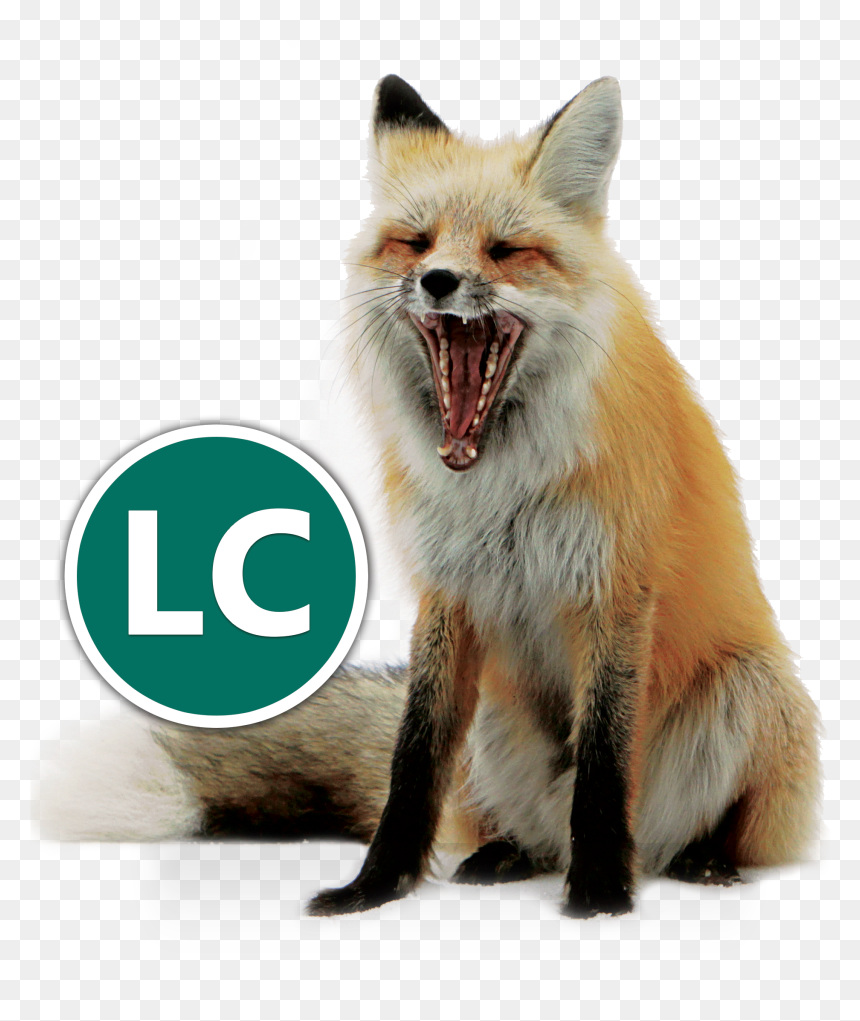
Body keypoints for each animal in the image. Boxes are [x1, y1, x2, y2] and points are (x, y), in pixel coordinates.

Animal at [39, 75, 820, 918]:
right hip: (495, 728)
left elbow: (605, 764)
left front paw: (601, 892)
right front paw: (374, 886)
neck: (501, 485)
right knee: (516, 824)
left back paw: (698, 858)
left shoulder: (614, 588)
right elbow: (412, 763)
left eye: (505, 250)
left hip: (750, 689)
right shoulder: (448, 591)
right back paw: (506, 854)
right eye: (415, 243)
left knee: (699, 827)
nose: (438, 281)